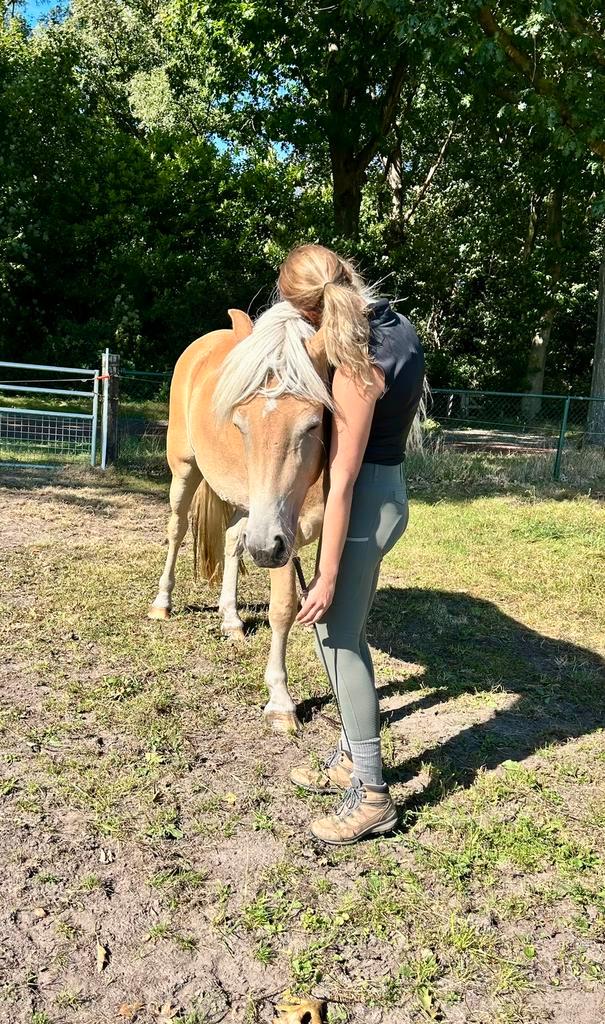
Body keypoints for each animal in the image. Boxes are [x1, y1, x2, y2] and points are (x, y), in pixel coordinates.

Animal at [148, 302, 332, 735]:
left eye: (313, 423)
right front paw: (281, 702)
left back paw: (231, 620)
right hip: (185, 471)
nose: (265, 548)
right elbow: (282, 608)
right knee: (176, 531)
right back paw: (162, 603)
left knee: (233, 541)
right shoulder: (284, 539)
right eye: (240, 423)